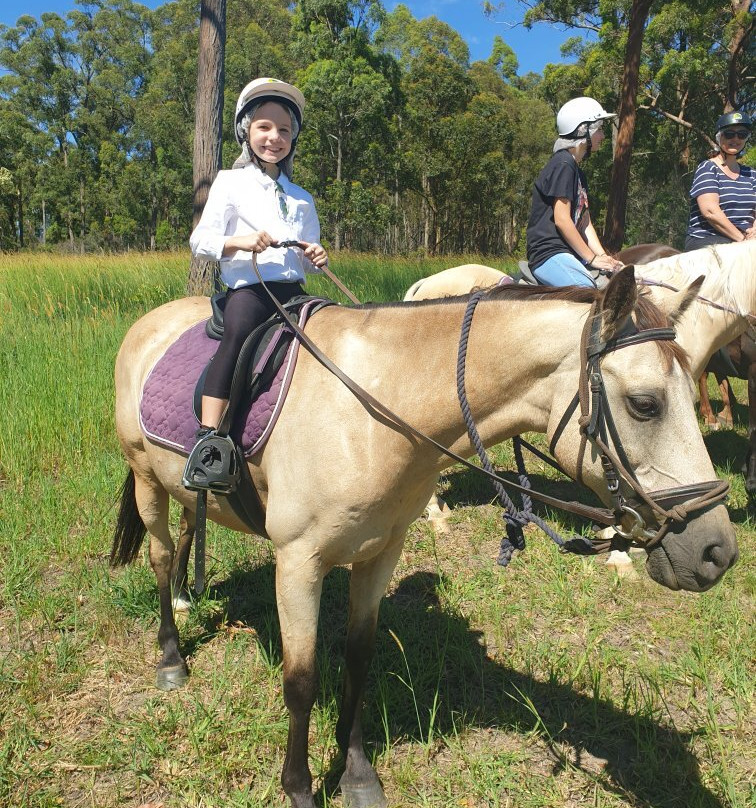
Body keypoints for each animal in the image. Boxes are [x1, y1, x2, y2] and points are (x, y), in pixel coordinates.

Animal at [111, 268, 737, 808]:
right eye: (644, 404)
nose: (718, 552)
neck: (373, 414)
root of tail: (151, 321)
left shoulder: (379, 554)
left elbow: (359, 659)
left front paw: (357, 774)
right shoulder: (298, 563)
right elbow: (301, 681)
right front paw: (300, 788)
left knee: (189, 526)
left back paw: (189, 596)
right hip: (145, 477)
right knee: (160, 557)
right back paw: (171, 655)